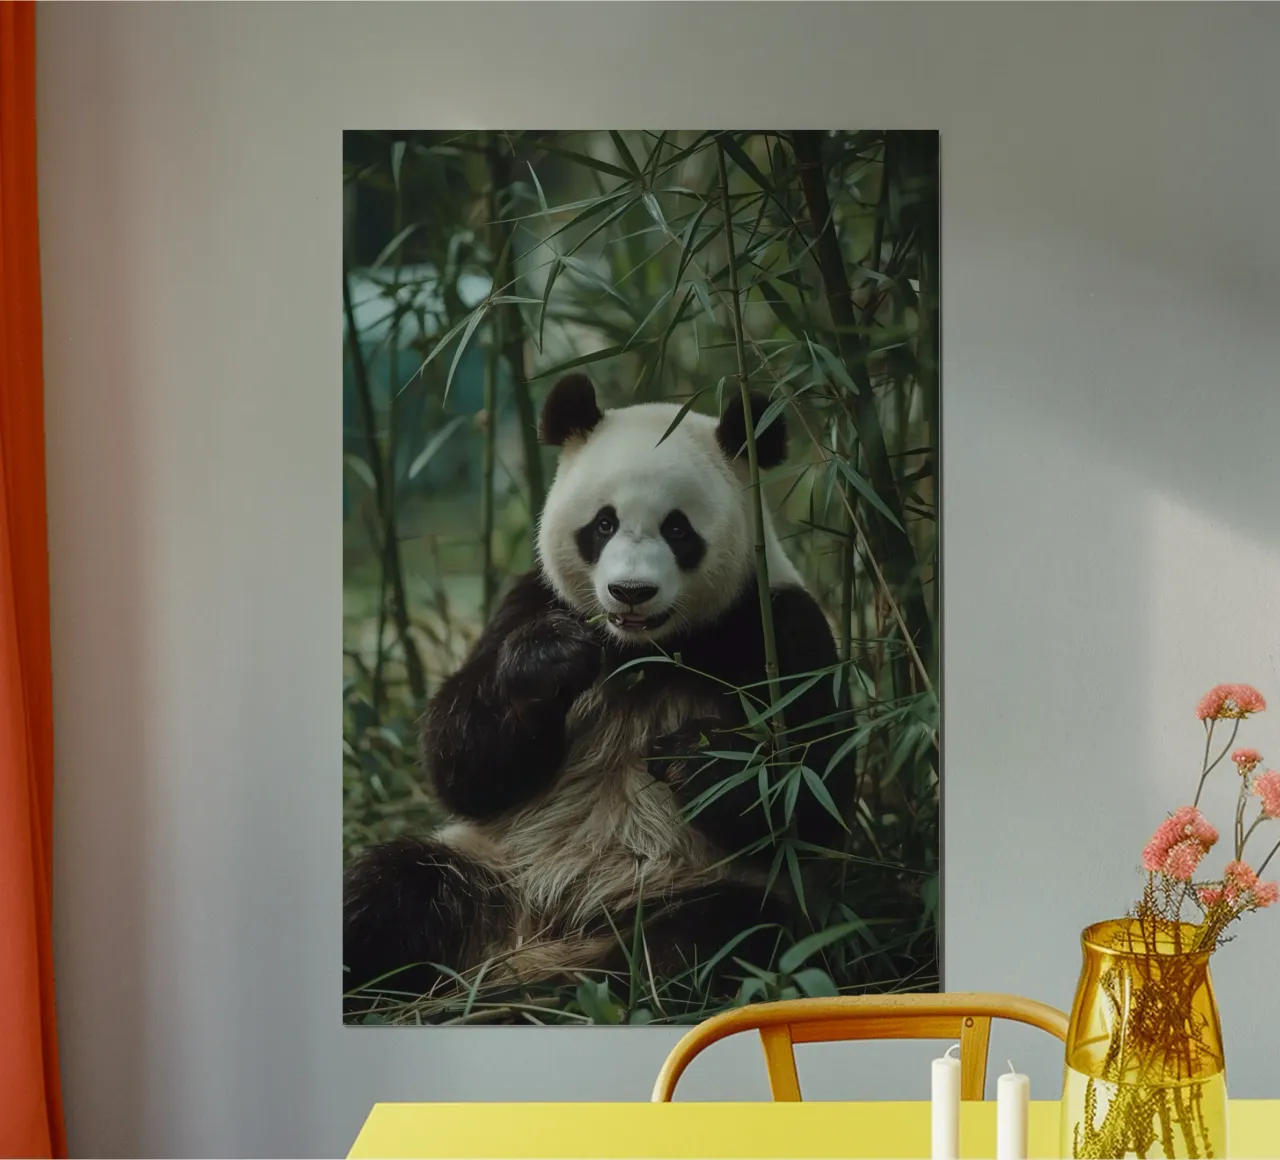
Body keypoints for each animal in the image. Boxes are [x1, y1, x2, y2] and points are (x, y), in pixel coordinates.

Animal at [342, 372, 855, 1010]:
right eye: (604, 524)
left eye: (678, 528)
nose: (630, 591)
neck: (640, 650)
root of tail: (535, 935)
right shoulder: (529, 601)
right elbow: (462, 764)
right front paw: (550, 661)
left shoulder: (776, 625)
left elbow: (811, 789)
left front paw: (692, 756)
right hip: (491, 867)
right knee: (391, 887)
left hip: (681, 884)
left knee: (718, 937)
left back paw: (588, 989)